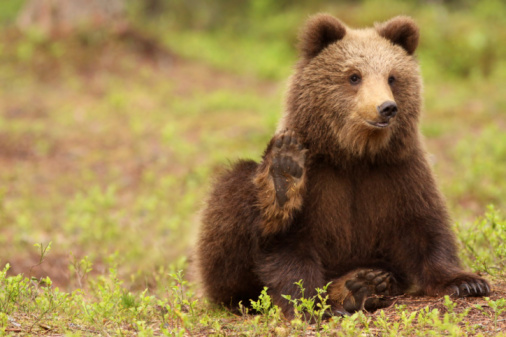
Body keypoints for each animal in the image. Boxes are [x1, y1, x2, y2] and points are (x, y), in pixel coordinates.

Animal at [195, 13, 490, 318]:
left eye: (392, 77)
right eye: (354, 76)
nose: (386, 107)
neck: (353, 155)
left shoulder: (399, 171)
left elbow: (425, 228)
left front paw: (467, 282)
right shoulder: (317, 180)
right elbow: (288, 246)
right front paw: (311, 304)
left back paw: (361, 284)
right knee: (234, 192)